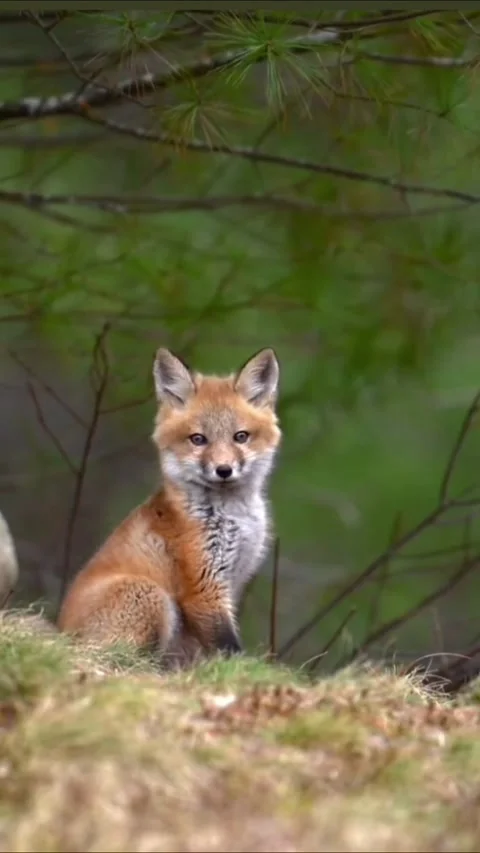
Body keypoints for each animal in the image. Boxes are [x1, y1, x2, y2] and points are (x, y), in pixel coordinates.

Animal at [57, 346, 281, 667]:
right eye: (198, 439)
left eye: (241, 436)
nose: (223, 470)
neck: (233, 516)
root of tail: (61, 633)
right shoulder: (203, 588)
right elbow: (229, 648)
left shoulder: (232, 580)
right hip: (150, 595)